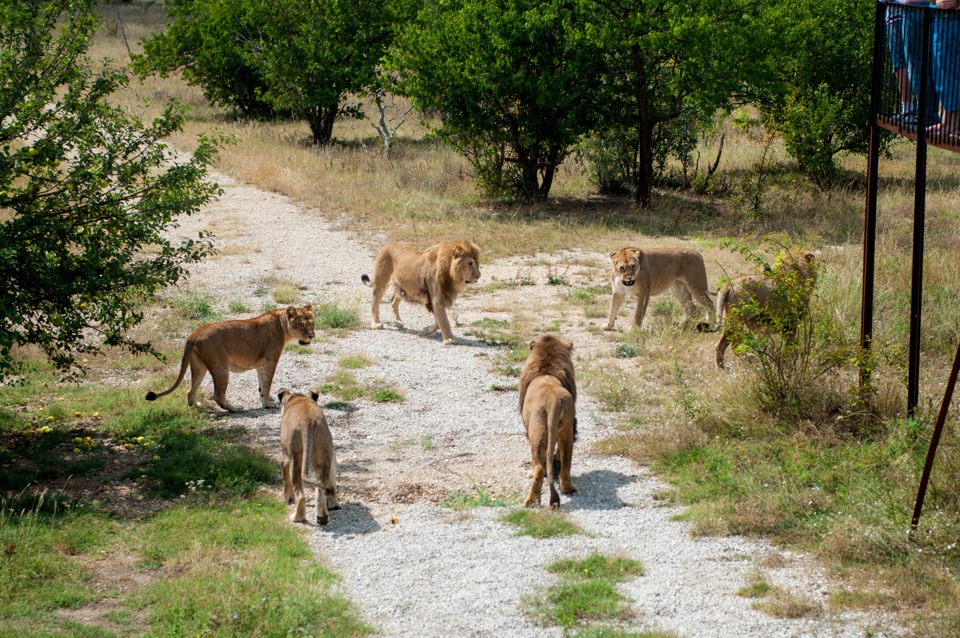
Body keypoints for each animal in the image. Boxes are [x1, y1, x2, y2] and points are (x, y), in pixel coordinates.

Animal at [144, 306, 316, 416]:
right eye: (301, 324)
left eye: (312, 323)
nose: (312, 335)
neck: (282, 326)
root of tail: (194, 334)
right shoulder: (270, 361)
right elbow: (267, 384)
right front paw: (267, 404)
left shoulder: (260, 365)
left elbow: (261, 385)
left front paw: (266, 399)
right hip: (221, 367)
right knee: (217, 396)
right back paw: (236, 408)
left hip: (199, 367)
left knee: (190, 391)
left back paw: (198, 406)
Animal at [520, 336, 572, 510]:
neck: (547, 372)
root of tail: (553, 400)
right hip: (566, 427)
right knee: (564, 461)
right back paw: (566, 489)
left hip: (538, 429)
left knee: (539, 466)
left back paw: (531, 501)